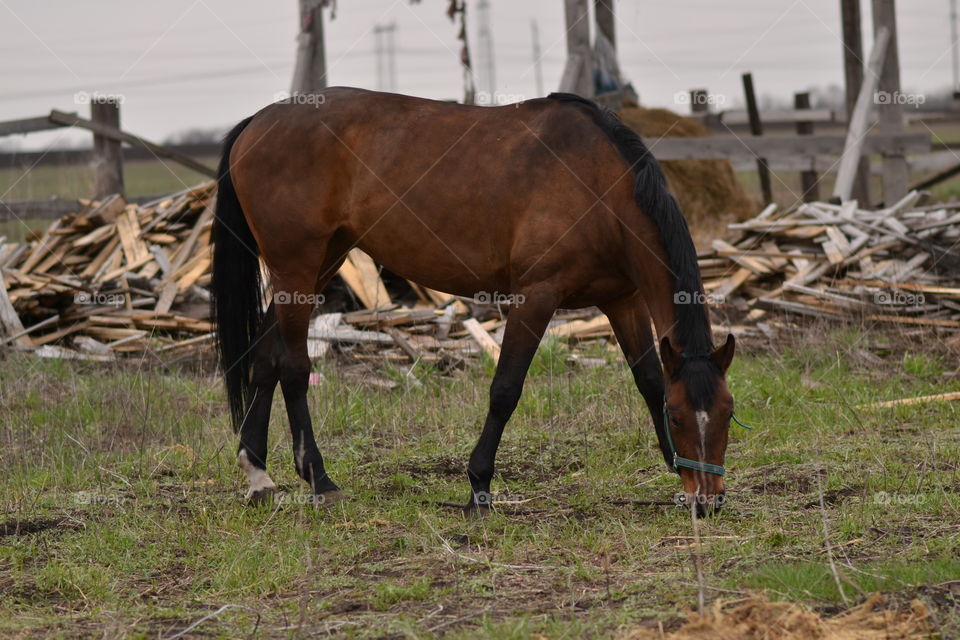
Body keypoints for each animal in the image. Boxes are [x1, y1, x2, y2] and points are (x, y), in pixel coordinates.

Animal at [210, 87, 737, 517]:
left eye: (729, 413)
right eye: (678, 416)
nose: (708, 501)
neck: (599, 184)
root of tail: (258, 121)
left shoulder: (623, 301)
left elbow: (648, 379)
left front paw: (671, 465)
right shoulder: (535, 297)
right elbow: (505, 390)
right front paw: (478, 487)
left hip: (317, 265)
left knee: (265, 359)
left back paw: (258, 475)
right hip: (297, 266)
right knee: (294, 369)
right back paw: (320, 480)